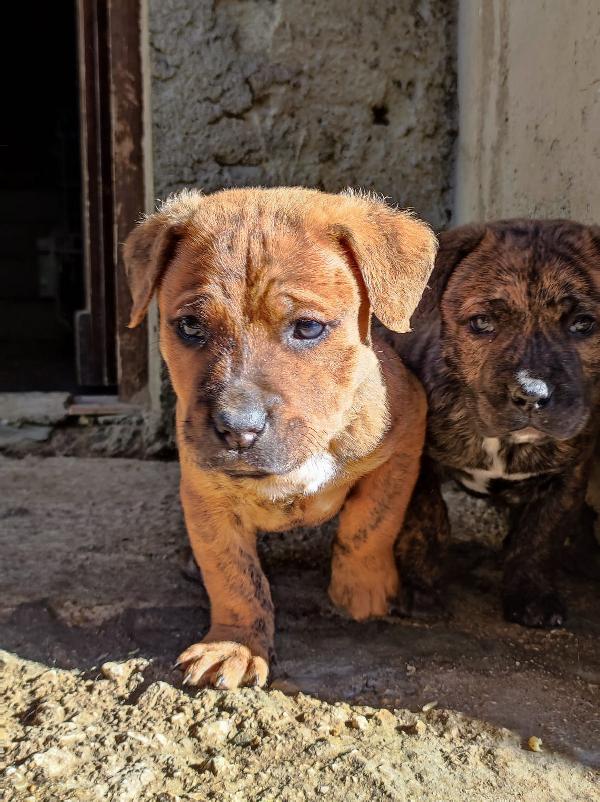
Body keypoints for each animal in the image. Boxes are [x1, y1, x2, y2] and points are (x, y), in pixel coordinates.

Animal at [396, 217, 600, 624]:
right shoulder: (415, 455)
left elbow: (543, 532)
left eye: (584, 325)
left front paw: (532, 593)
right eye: (481, 323)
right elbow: (426, 516)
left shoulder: (571, 471)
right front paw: (420, 590)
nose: (531, 393)